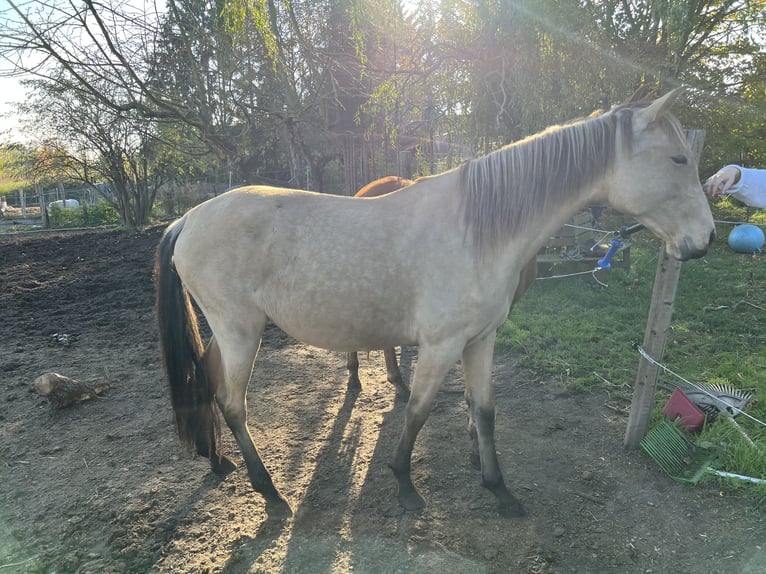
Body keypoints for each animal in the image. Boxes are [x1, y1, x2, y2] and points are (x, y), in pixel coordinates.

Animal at [158, 90, 720, 520]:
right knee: (234, 403)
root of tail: (188, 218)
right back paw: (270, 493)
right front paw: (405, 485)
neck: (480, 229)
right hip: (241, 332)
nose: (706, 240)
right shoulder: (441, 344)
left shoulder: (480, 340)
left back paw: (217, 461)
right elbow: (419, 410)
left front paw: (498, 489)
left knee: (206, 378)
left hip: (229, 332)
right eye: (677, 159)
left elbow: (484, 410)